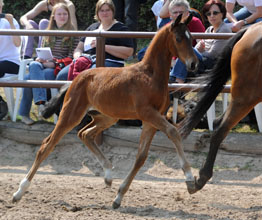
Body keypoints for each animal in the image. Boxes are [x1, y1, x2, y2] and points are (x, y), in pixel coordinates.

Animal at [11, 14, 198, 209]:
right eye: (179, 38)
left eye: (191, 37)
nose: (193, 63)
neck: (151, 75)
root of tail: (75, 80)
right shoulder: (148, 113)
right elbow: (173, 132)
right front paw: (190, 180)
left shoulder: (152, 120)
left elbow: (141, 156)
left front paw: (119, 196)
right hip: (71, 114)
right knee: (47, 145)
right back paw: (19, 192)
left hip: (107, 118)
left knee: (85, 134)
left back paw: (108, 175)